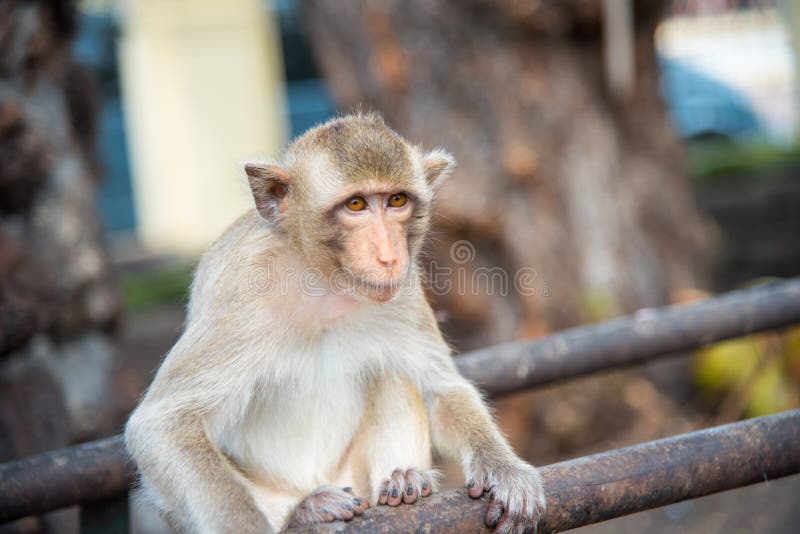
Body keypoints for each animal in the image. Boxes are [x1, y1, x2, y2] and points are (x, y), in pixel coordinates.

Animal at [125, 111, 548, 532]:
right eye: (356, 204)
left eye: (396, 200)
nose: (387, 255)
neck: (325, 282)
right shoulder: (242, 295)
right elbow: (164, 426)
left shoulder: (404, 291)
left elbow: (442, 389)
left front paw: (504, 470)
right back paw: (308, 508)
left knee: (394, 374)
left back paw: (404, 481)